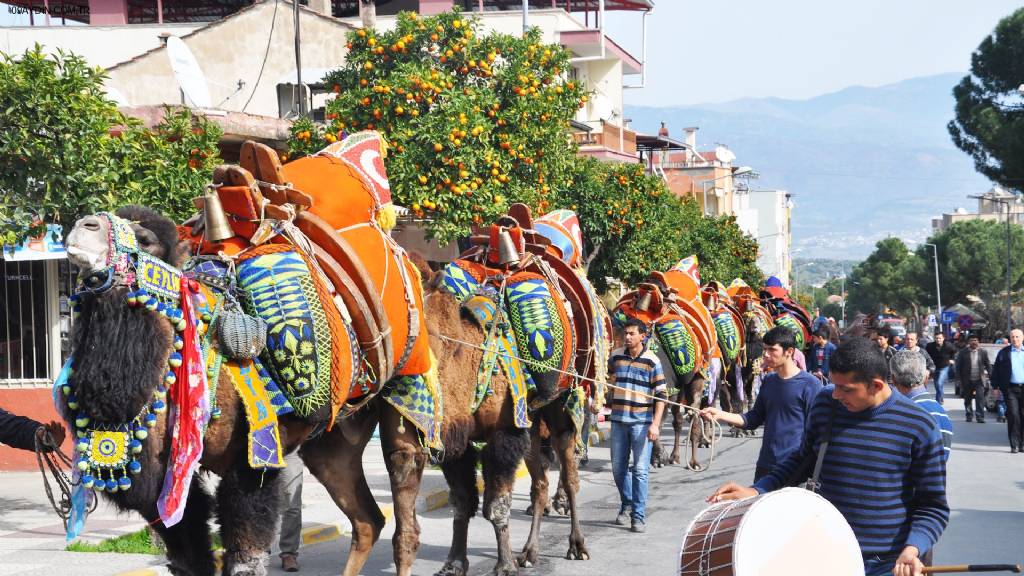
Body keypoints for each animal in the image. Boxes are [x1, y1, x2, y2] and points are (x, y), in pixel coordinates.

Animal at [58, 132, 444, 573]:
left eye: (146, 239)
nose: (83, 226)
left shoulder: (254, 457)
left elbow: (246, 554)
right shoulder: (157, 484)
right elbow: (191, 557)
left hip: (406, 388)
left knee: (403, 494)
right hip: (331, 441)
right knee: (366, 518)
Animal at [423, 201, 606, 569]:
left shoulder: (504, 433)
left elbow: (496, 506)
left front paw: (504, 564)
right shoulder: (455, 437)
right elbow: (462, 501)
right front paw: (454, 563)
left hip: (560, 405)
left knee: (570, 475)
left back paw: (576, 544)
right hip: (532, 423)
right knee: (540, 483)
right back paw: (530, 551)